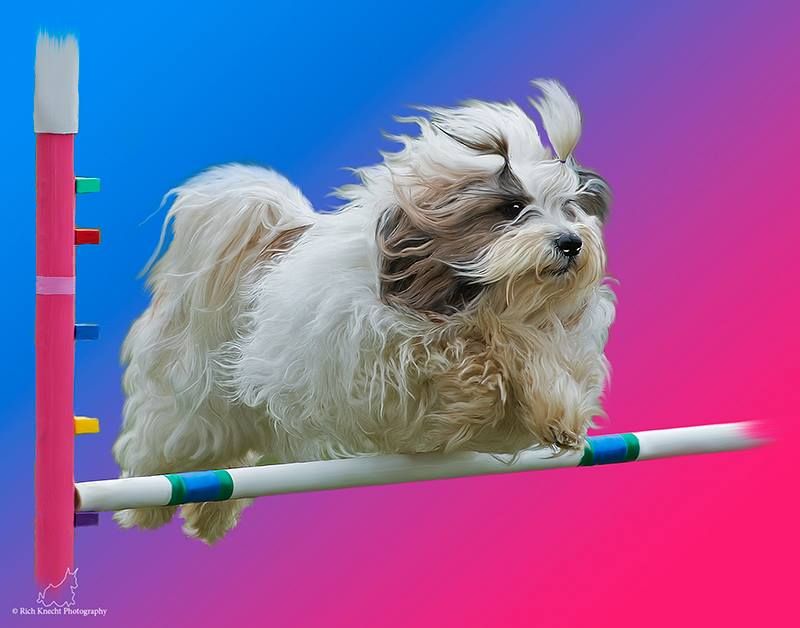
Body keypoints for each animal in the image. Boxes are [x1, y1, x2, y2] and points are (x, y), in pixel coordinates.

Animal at [111, 81, 612, 544]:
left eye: (570, 208)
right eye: (512, 208)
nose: (571, 242)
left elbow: (541, 369)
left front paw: (557, 410)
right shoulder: (382, 362)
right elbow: (456, 363)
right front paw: (479, 382)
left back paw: (211, 513)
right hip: (195, 405)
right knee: (172, 445)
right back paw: (145, 507)